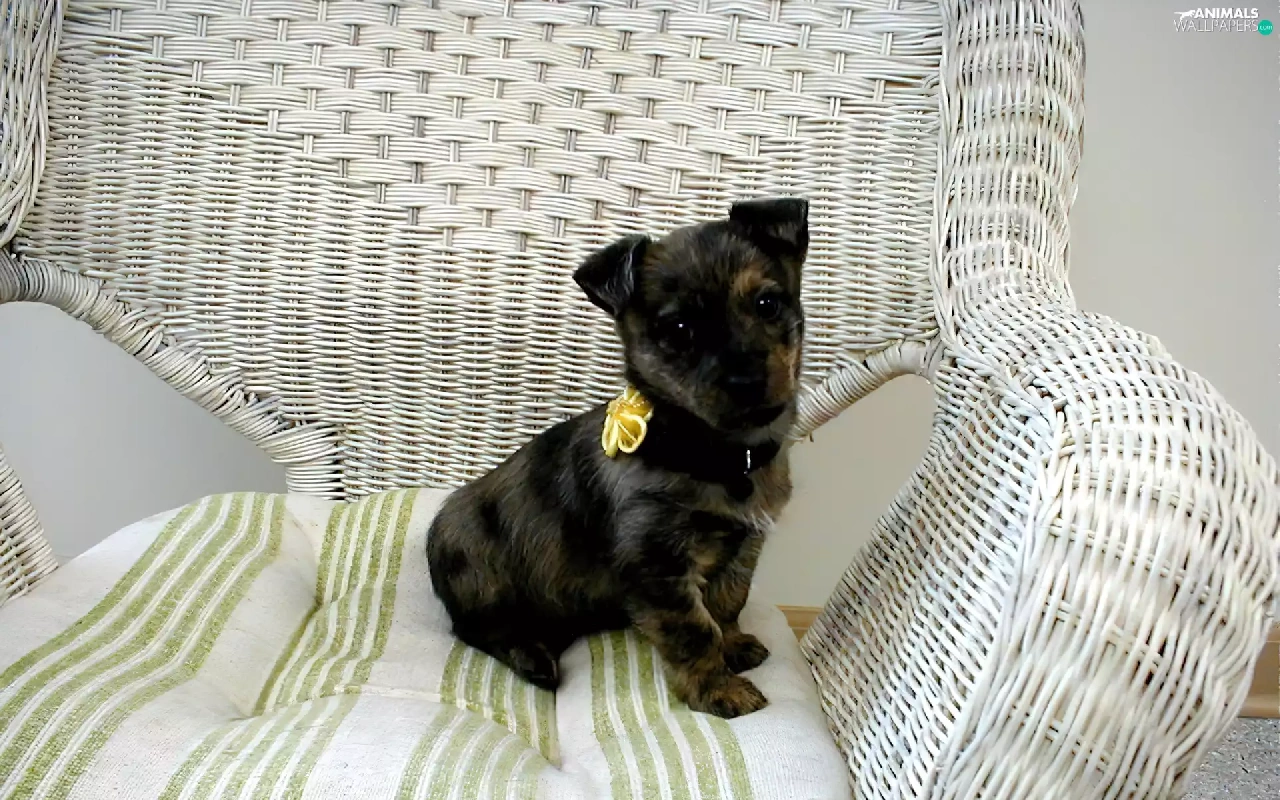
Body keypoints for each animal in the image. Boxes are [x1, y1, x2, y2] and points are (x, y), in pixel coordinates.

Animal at [427, 197, 808, 718]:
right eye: (679, 330)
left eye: (767, 304)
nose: (746, 382)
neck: (711, 452)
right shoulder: (658, 565)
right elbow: (695, 631)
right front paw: (717, 689)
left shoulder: (742, 548)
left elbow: (727, 604)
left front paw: (733, 647)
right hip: (476, 565)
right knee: (478, 627)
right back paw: (532, 658)